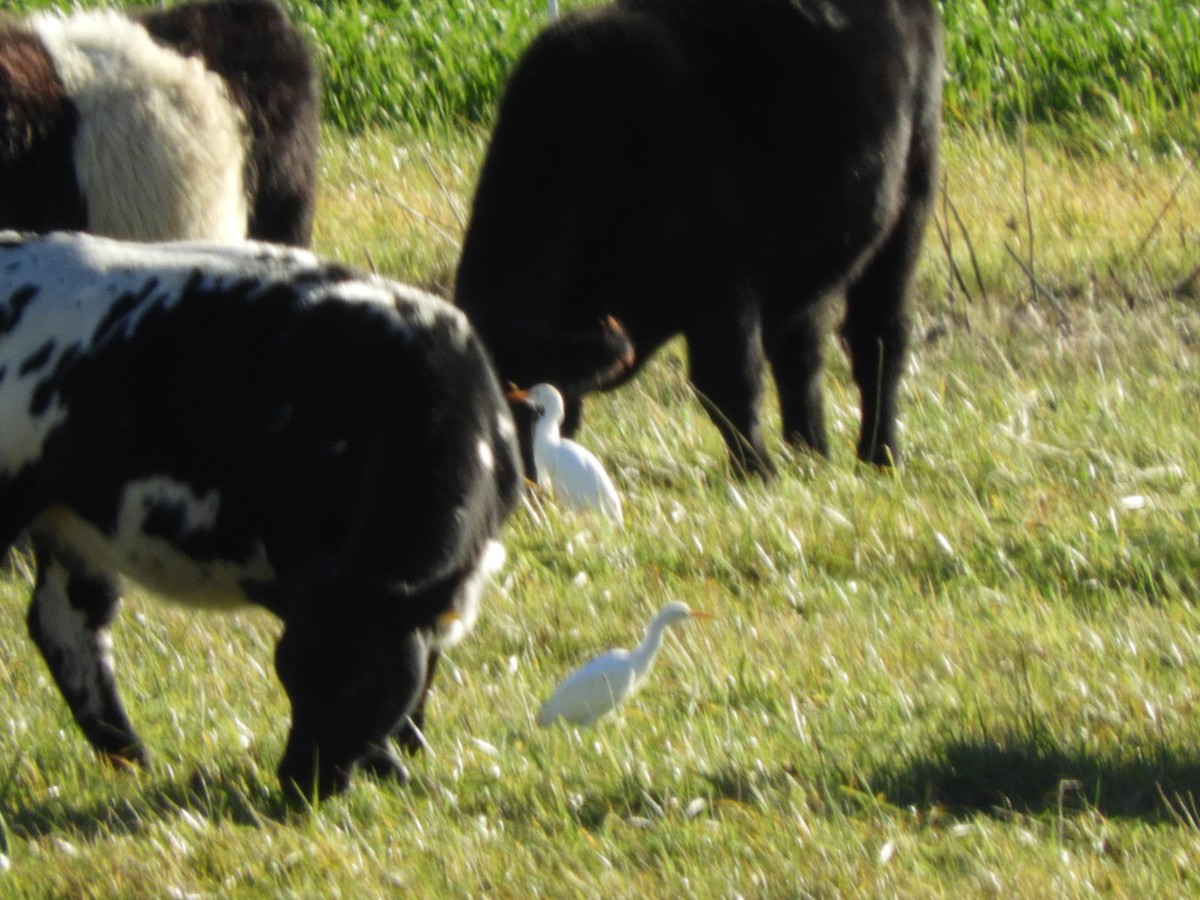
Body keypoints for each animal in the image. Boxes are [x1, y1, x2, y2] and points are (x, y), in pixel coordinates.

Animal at [0, 231, 522, 800]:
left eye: (363, 680)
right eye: (287, 674)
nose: (301, 782)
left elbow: (427, 656)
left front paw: (404, 752)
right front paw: (388, 762)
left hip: (66, 523)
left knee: (67, 624)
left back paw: (130, 756)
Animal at [455, 0, 943, 476]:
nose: (513, 481)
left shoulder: (721, 281)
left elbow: (728, 381)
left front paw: (757, 471)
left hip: (911, 198)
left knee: (878, 337)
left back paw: (880, 455)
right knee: (802, 353)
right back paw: (811, 454)